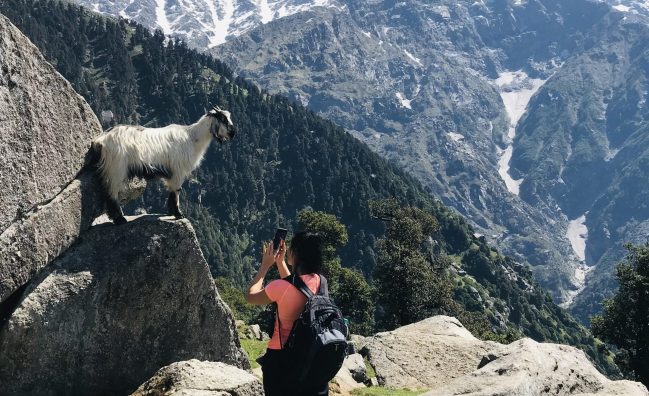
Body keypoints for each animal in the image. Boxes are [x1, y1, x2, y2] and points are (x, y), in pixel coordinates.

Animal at [90, 106, 234, 224]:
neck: (192, 138)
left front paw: (171, 212)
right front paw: (178, 214)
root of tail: (101, 139)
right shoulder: (178, 171)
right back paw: (120, 219)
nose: (232, 134)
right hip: (116, 168)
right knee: (112, 193)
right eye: (223, 119)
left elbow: (171, 191)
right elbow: (176, 191)